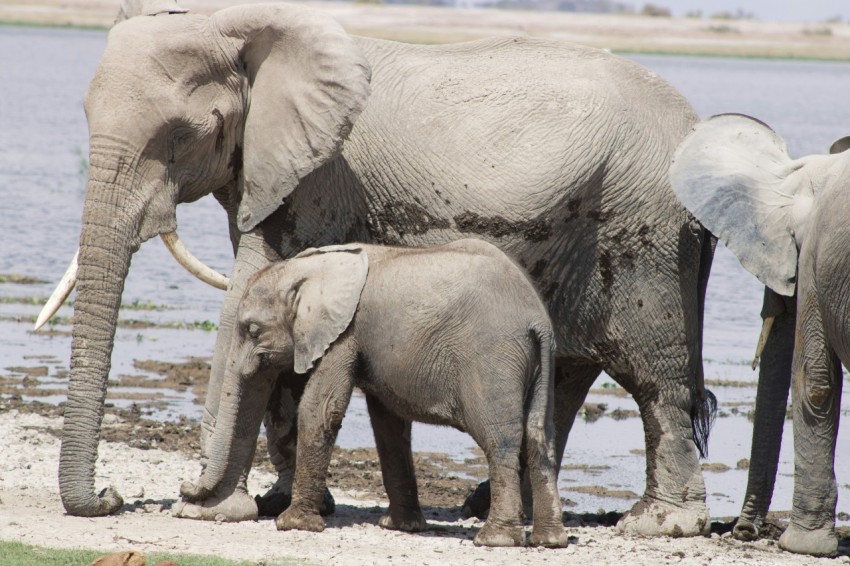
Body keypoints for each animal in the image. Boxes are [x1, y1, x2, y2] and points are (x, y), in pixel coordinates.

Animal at [180, 237, 568, 548]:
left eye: (252, 329)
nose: (184, 494)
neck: (311, 269)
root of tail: (537, 321)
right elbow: (388, 424)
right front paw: (400, 527)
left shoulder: (343, 334)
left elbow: (321, 410)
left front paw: (292, 524)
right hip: (539, 364)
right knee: (540, 439)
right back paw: (550, 541)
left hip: (492, 360)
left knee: (500, 441)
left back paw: (495, 540)